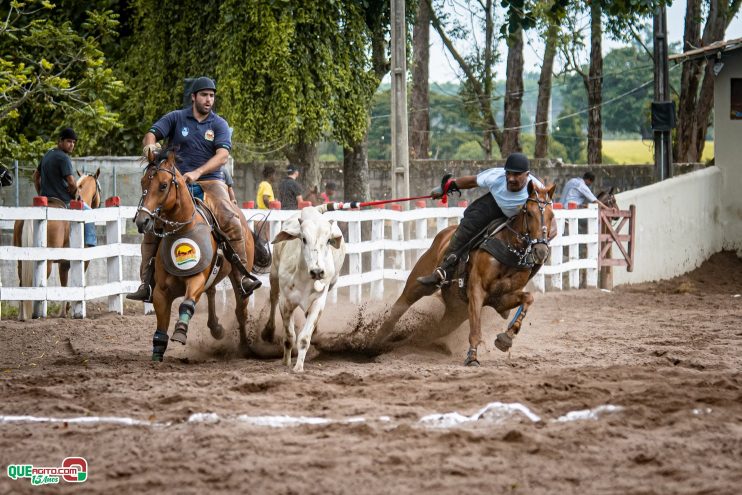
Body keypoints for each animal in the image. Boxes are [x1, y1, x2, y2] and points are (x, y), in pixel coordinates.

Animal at [13, 169, 101, 320]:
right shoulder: (83, 261)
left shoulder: (64, 263)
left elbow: (64, 284)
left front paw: (64, 311)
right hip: (46, 262)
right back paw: (38, 314)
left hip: (20, 260)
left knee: (22, 283)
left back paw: (22, 315)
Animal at [135, 149, 264, 362]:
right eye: (143, 182)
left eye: (163, 185)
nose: (142, 220)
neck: (182, 230)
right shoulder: (161, 292)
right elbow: (161, 324)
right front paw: (157, 353)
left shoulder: (195, 279)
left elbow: (187, 304)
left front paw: (180, 331)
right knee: (211, 293)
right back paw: (216, 328)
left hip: (238, 278)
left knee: (241, 311)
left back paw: (245, 347)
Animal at [264, 204, 348, 372]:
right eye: (303, 239)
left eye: (328, 240)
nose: (317, 271)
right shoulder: (286, 302)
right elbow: (289, 337)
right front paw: (286, 362)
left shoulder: (318, 302)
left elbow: (304, 338)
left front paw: (298, 367)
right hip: (274, 275)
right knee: (273, 297)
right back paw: (268, 331)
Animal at [372, 180, 560, 366]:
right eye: (529, 213)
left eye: (551, 215)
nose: (541, 251)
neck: (509, 251)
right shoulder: (476, 290)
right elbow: (475, 328)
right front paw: (472, 357)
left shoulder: (500, 299)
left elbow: (528, 298)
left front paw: (506, 339)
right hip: (419, 284)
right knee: (399, 308)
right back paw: (374, 344)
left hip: (456, 313)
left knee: (429, 332)